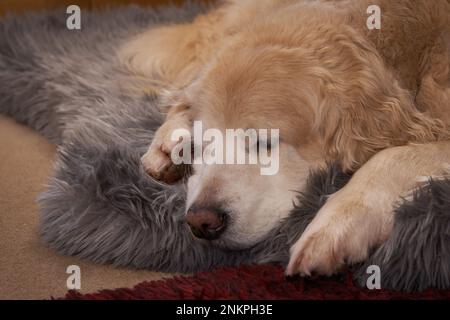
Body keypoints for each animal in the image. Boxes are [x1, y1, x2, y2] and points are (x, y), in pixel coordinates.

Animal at [118, 0, 448, 276]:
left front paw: (334, 226)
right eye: (204, 144)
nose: (201, 222)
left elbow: (391, 157)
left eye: (266, 142)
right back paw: (166, 144)